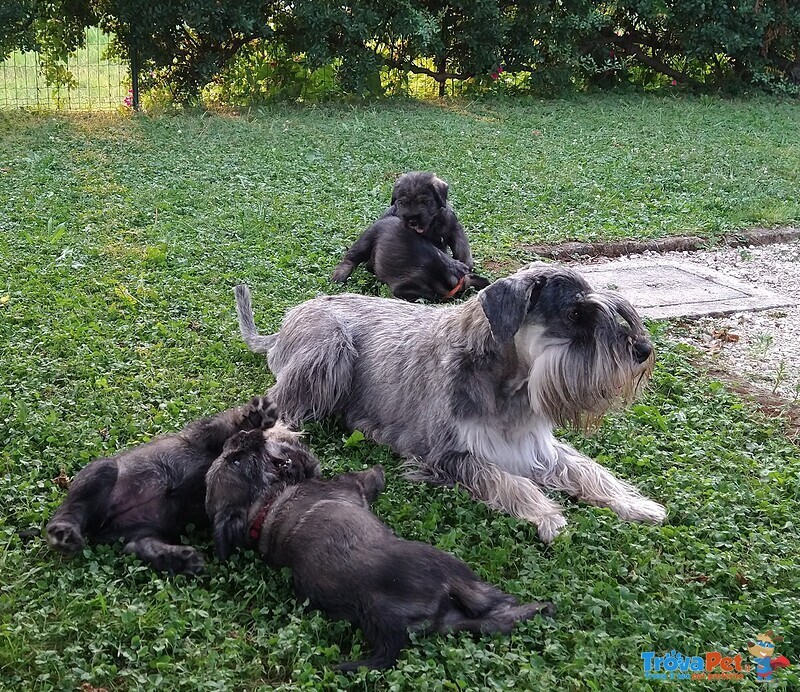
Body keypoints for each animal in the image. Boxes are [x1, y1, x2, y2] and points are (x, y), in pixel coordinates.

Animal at [47, 394, 278, 572]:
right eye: (239, 461)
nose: (258, 439)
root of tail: (101, 523)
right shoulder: (209, 434)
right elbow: (232, 424)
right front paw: (258, 414)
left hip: (142, 531)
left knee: (136, 547)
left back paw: (179, 559)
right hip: (103, 470)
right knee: (72, 510)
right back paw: (63, 532)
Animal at [206, 428, 556, 672]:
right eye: (237, 460)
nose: (240, 434)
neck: (263, 507)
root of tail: (389, 630)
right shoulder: (347, 484)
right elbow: (355, 475)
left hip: (448, 621)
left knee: (490, 622)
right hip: (453, 571)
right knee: (492, 604)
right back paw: (539, 606)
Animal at [234, 262, 664, 544]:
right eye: (575, 313)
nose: (642, 351)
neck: (508, 383)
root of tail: (283, 326)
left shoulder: (536, 446)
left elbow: (589, 470)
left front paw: (636, 504)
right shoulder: (448, 455)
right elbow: (507, 480)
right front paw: (546, 513)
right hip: (328, 351)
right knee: (279, 406)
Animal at [330, 172, 488, 300]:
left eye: (425, 201)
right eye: (402, 202)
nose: (412, 220)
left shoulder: (453, 229)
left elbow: (462, 249)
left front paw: (465, 265)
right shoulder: (403, 287)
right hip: (366, 241)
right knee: (351, 257)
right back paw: (340, 275)